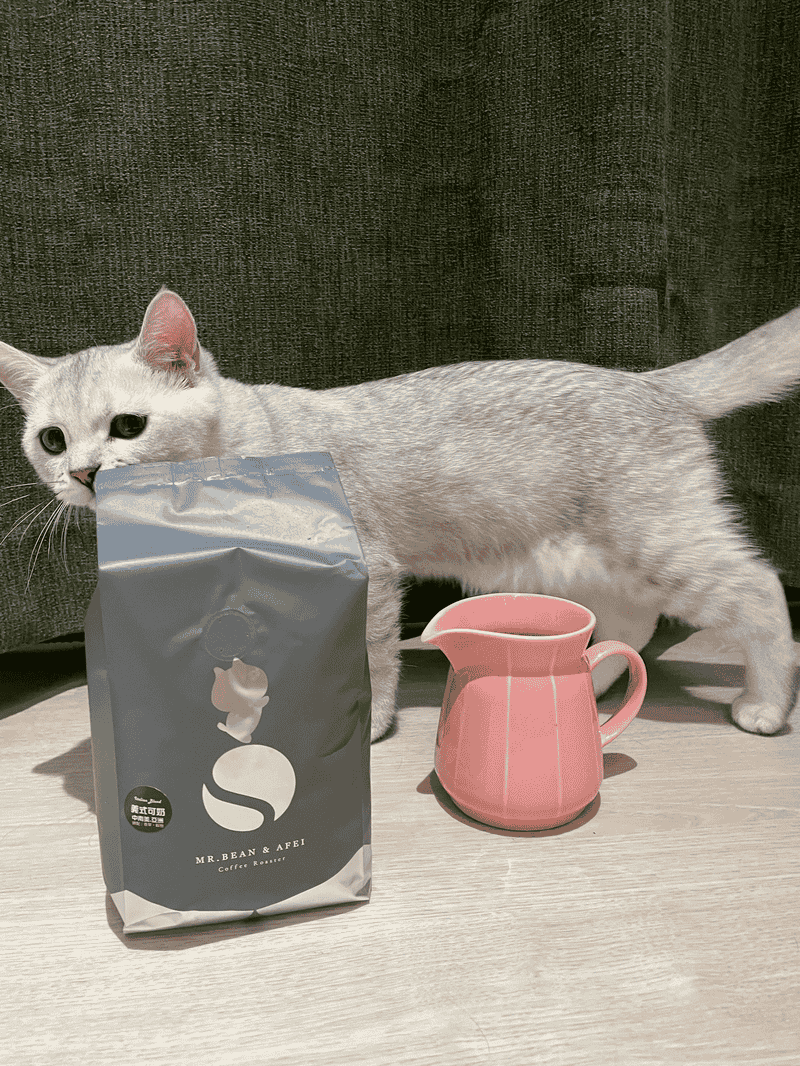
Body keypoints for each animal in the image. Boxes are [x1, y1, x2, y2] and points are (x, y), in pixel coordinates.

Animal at [1, 287, 799, 741]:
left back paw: (764, 704)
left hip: (660, 541)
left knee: (760, 593)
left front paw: (374, 723)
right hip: (594, 558)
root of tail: (656, 383)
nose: (82, 473)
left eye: (128, 426)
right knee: (633, 623)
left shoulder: (373, 574)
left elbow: (373, 657)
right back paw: (593, 679)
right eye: (52, 439)